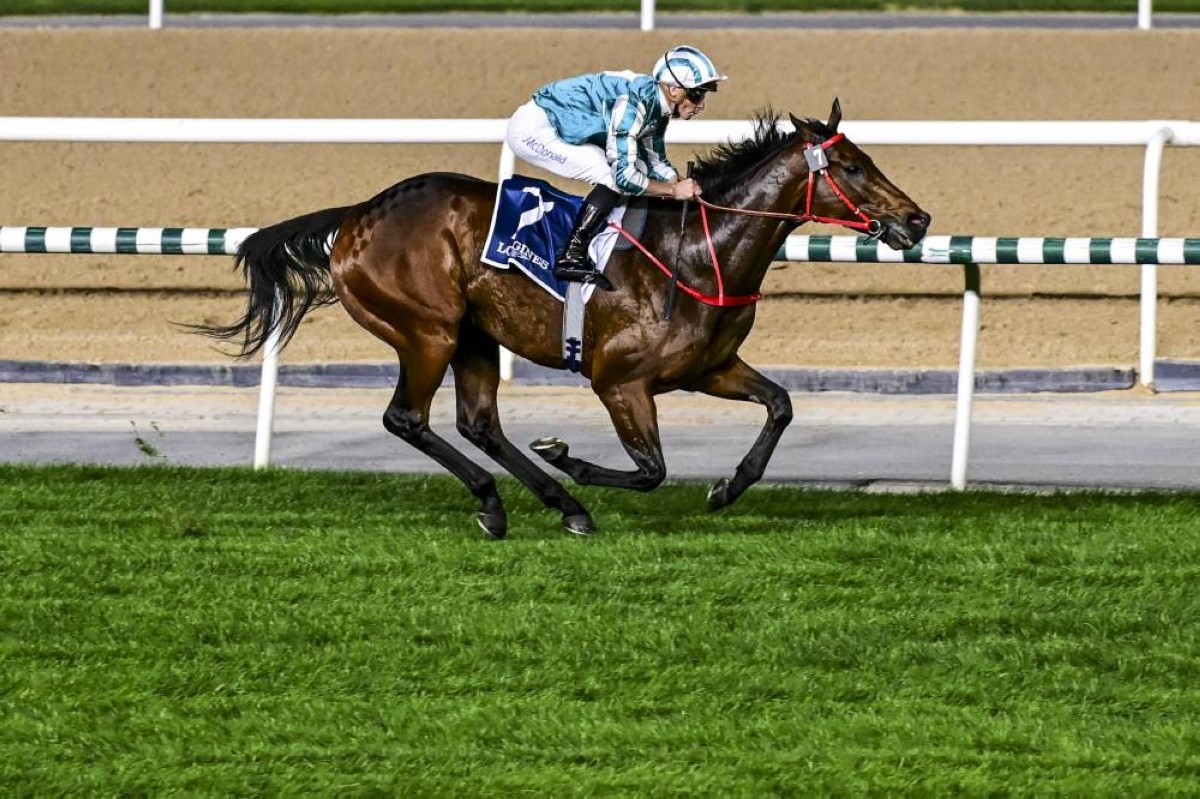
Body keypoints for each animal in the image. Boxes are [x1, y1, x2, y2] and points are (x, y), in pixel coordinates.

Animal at [197, 99, 930, 539]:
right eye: (851, 166)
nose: (917, 218)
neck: (697, 252)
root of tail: (355, 216)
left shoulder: (710, 367)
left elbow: (780, 405)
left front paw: (727, 488)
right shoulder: (619, 380)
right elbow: (651, 469)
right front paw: (573, 460)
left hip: (474, 336)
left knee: (479, 424)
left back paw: (549, 505)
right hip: (427, 330)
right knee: (407, 418)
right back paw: (512, 499)